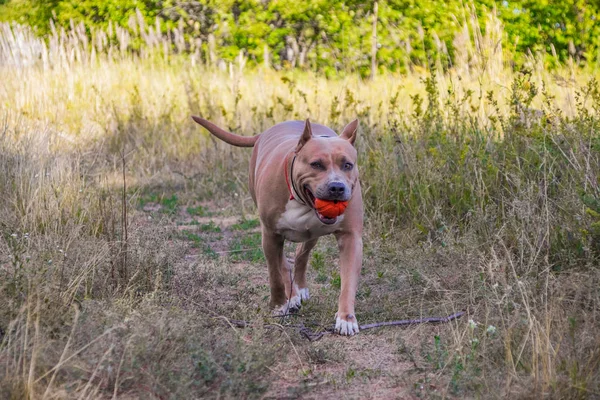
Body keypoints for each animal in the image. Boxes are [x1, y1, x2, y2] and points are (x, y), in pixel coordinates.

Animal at [192, 115, 364, 334]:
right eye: (316, 164)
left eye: (347, 165)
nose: (337, 187)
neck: (301, 201)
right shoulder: (270, 234)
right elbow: (275, 274)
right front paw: (279, 305)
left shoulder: (351, 238)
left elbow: (348, 282)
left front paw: (346, 318)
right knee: (283, 263)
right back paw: (292, 296)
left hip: (312, 235)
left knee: (301, 255)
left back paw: (300, 288)